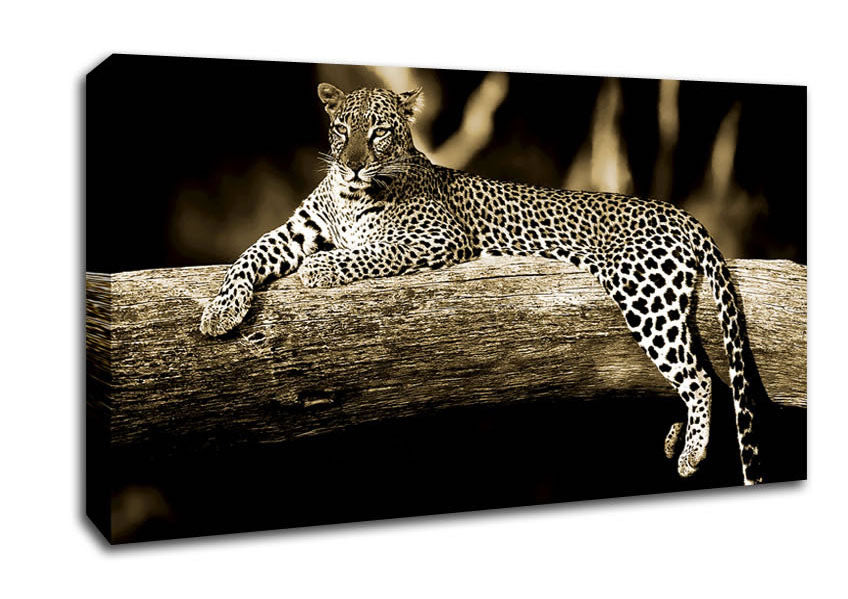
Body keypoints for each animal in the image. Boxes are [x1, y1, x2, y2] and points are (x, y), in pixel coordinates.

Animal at [200, 82, 763, 486]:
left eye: (379, 131)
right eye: (342, 129)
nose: (354, 164)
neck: (350, 196)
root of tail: (680, 211)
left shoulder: (437, 236)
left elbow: (367, 252)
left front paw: (319, 269)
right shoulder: (297, 230)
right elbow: (249, 255)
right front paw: (219, 313)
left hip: (642, 290)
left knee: (699, 376)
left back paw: (690, 453)